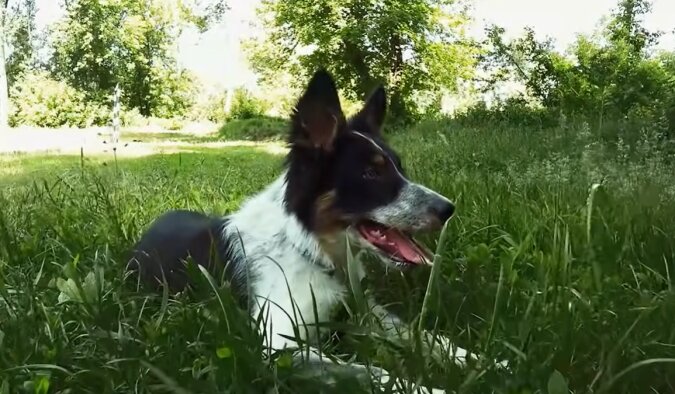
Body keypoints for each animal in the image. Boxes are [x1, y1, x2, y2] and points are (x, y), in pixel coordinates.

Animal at [129, 69, 504, 392]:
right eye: (371, 173)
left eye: (399, 167)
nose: (448, 209)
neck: (310, 248)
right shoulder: (279, 348)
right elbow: (371, 372)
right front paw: (430, 388)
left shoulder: (365, 311)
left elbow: (424, 336)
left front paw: (483, 362)